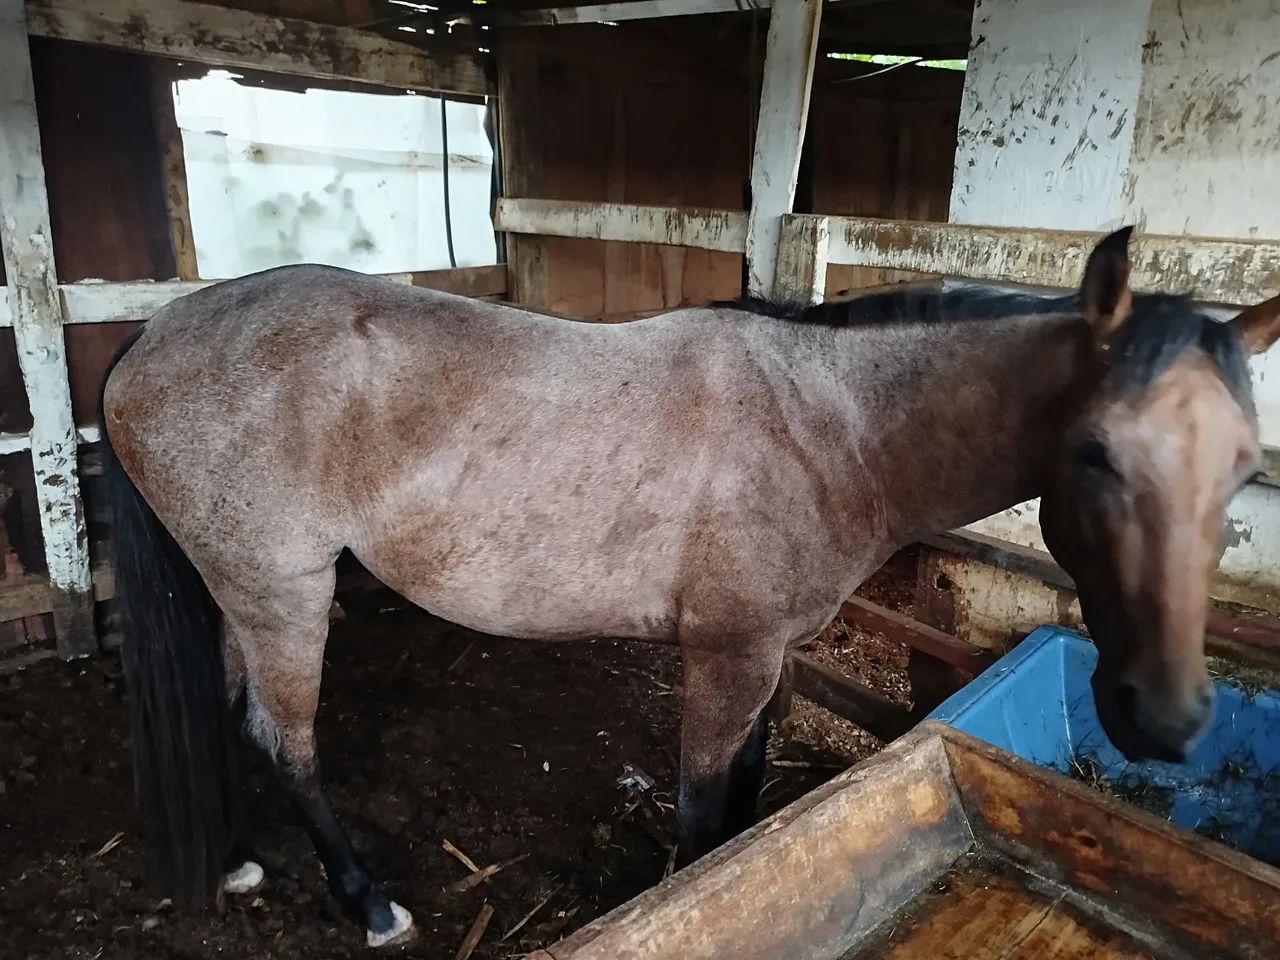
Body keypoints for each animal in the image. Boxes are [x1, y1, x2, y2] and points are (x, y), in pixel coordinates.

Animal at [99, 227, 1279, 946]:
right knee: (285, 737)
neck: (830, 429)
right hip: (287, 593)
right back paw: (367, 901)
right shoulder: (727, 657)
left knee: (232, 715)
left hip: (239, 591)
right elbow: (708, 817)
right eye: (1094, 452)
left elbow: (747, 796)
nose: (1167, 718)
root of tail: (154, 335)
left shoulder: (765, 656)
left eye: (1243, 466)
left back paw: (240, 861)